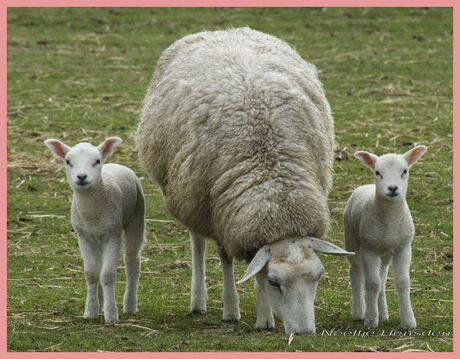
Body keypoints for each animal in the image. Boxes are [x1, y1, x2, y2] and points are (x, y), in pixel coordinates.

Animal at [44, 136, 146, 324]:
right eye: (68, 162)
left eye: (97, 161)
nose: (81, 177)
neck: (91, 211)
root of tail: (116, 164)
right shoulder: (83, 236)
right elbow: (91, 273)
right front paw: (90, 311)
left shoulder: (112, 234)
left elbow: (107, 275)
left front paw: (111, 315)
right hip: (97, 237)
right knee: (99, 266)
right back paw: (100, 304)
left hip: (136, 219)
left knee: (132, 263)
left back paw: (129, 305)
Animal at [136, 27, 352, 334]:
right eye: (275, 281)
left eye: (319, 276)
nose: (304, 332)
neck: (273, 186)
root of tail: (221, 31)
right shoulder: (218, 212)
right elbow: (228, 260)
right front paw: (234, 310)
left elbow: (254, 269)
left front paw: (265, 317)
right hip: (189, 194)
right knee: (197, 242)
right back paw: (198, 301)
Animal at [342, 146, 428, 330]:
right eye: (377, 172)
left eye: (405, 171)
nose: (393, 188)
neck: (390, 219)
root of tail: (364, 186)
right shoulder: (369, 249)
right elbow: (372, 284)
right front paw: (371, 320)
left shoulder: (404, 248)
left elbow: (402, 283)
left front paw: (408, 321)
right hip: (352, 239)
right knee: (356, 272)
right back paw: (359, 312)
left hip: (386, 254)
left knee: (382, 279)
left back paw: (383, 313)